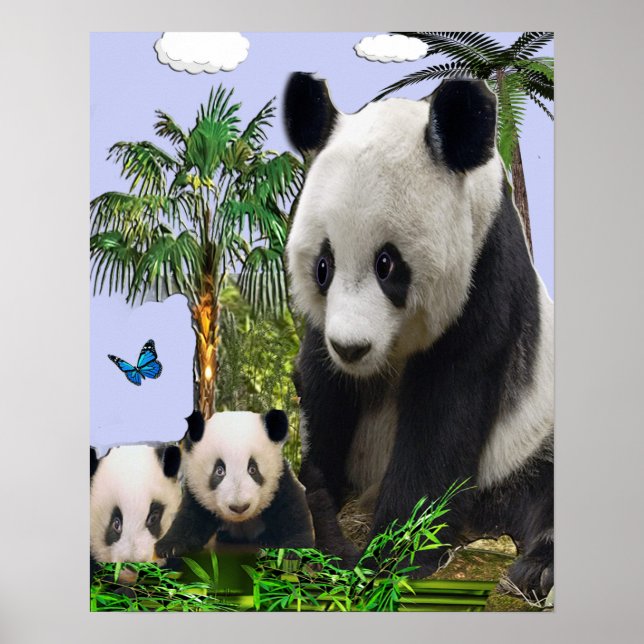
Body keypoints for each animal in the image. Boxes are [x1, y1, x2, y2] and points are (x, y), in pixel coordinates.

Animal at [155, 409, 314, 557]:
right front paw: (170, 546)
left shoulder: (279, 480)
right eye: (219, 470)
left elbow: (291, 510)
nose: (239, 507)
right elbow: (191, 517)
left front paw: (296, 549)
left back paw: (266, 538)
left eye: (252, 469)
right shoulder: (197, 490)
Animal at [283, 73, 554, 598]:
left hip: (527, 442)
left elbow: (444, 411)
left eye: (386, 264)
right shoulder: (323, 334)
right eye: (323, 267)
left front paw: (390, 556)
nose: (352, 348)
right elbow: (324, 396)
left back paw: (534, 570)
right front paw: (319, 509)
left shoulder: (484, 275)